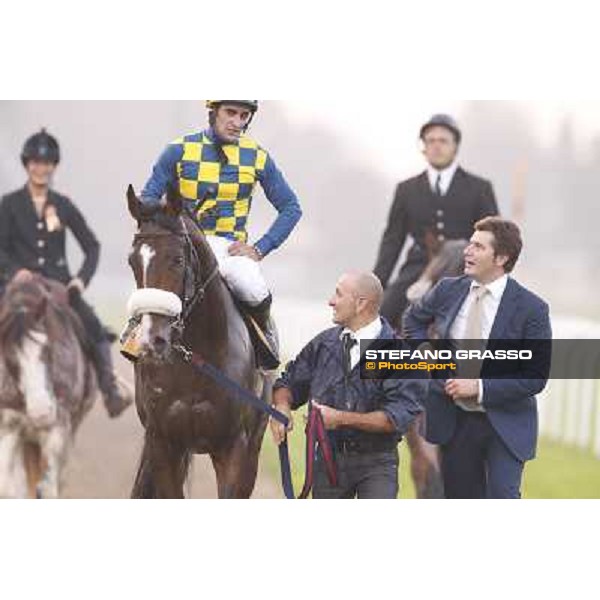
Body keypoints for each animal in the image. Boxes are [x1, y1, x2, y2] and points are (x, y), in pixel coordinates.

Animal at [0, 276, 95, 496]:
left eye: (47, 348)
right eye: (10, 358)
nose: (41, 412)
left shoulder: (58, 428)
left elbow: (49, 487)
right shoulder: (9, 426)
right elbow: (7, 486)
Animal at [126, 186, 270, 496]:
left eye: (177, 259)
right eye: (132, 262)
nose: (153, 339)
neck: (196, 361)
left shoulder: (234, 448)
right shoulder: (163, 443)